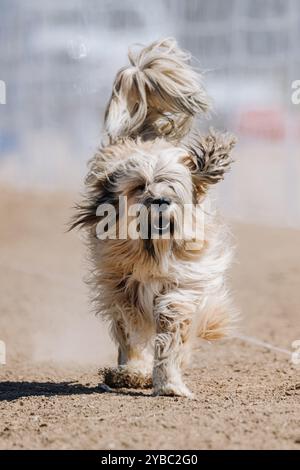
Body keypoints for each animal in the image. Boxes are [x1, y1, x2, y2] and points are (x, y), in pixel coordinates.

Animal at [71, 38, 237, 396]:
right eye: (139, 186)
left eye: (173, 186)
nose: (159, 200)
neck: (152, 249)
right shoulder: (120, 288)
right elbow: (130, 330)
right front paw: (132, 372)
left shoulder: (182, 284)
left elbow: (172, 327)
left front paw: (169, 382)